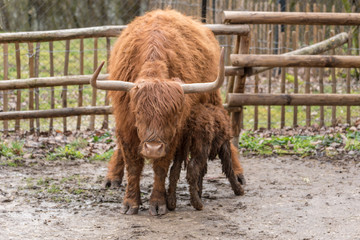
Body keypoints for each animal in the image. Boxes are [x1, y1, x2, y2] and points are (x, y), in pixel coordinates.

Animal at [90, 8, 245, 216]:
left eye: (172, 115)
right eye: (138, 114)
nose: (153, 148)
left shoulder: (174, 135)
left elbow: (161, 167)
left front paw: (158, 202)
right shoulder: (126, 124)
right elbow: (133, 166)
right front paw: (130, 203)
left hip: (212, 99)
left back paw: (237, 173)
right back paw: (112, 178)